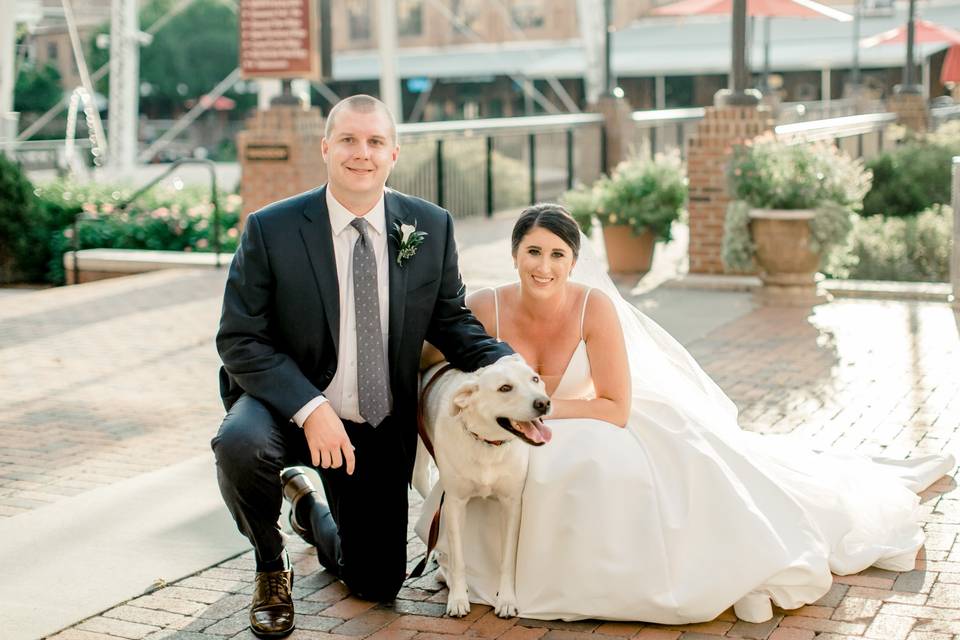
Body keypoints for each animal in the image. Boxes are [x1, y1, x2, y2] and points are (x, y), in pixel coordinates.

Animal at [412, 356, 556, 620]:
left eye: (535, 379)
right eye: (505, 388)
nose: (544, 403)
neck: (488, 444)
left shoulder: (511, 503)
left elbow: (508, 559)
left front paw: (506, 600)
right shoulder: (455, 503)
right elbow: (458, 558)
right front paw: (458, 598)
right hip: (418, 465)